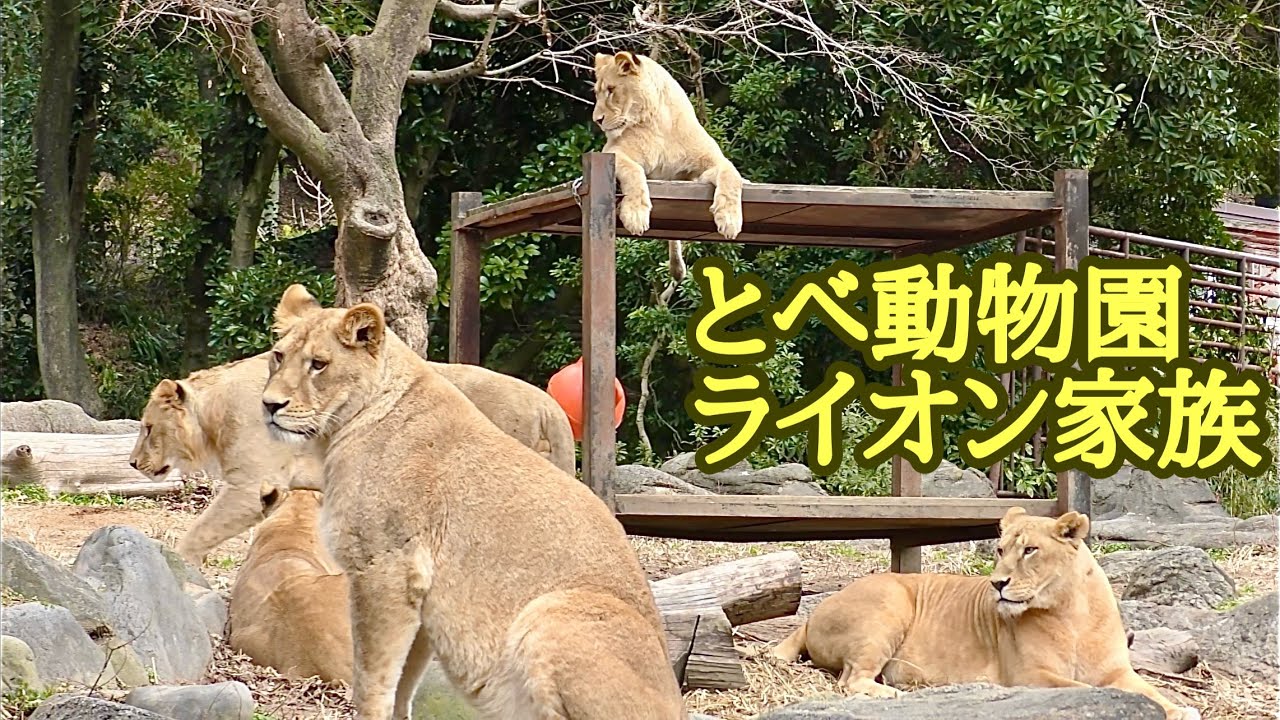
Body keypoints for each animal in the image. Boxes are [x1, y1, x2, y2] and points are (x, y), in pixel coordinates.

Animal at [130, 354, 576, 567]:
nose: (133, 463)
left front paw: (181, 565)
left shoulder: (250, 484)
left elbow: (199, 531)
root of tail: (547, 404)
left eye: (148, 427)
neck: (215, 414)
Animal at [262, 284, 685, 720]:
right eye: (278, 356)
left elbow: (372, 680)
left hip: (548, 614)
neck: (340, 431)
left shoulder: (384, 568)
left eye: (318, 364)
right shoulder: (421, 594)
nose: (270, 405)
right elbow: (403, 683)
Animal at [593, 50, 745, 281]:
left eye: (611, 90)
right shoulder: (613, 152)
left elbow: (732, 175)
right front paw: (635, 214)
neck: (659, 122)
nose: (597, 120)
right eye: (597, 93)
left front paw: (730, 219)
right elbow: (634, 171)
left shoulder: (706, 167)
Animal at [771, 507, 1199, 720]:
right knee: (851, 680)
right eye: (1000, 550)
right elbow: (1089, 690)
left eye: (1030, 550)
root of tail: (810, 617)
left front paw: (1181, 710)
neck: (1069, 610)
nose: (997, 583)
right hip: (889, 602)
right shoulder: (1029, 676)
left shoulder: (1117, 671)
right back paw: (892, 693)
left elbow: (1149, 691)